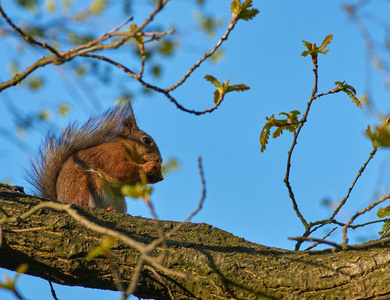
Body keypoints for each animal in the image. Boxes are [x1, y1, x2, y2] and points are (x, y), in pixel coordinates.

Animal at [27, 103, 161, 213]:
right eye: (146, 140)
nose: (160, 160)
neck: (124, 144)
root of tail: (62, 201)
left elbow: (125, 184)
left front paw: (153, 178)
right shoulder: (111, 153)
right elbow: (118, 169)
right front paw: (148, 166)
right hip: (87, 185)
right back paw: (107, 209)